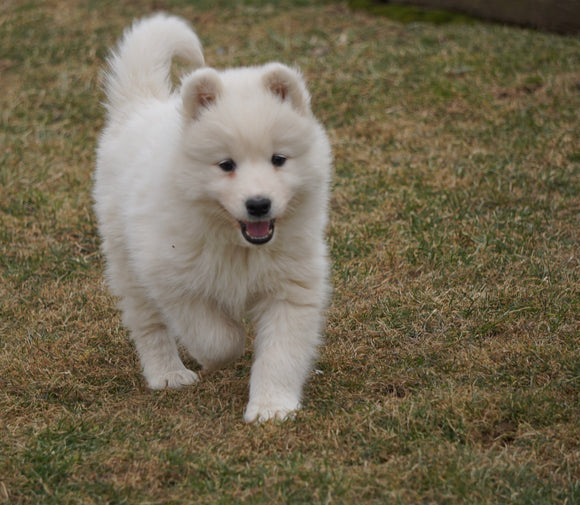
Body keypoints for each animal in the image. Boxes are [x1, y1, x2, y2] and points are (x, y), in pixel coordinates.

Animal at [93, 13, 334, 422]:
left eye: (278, 159)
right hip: (126, 259)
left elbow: (281, 352)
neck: (238, 243)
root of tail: (140, 107)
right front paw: (223, 353)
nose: (258, 204)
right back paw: (168, 374)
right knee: (147, 322)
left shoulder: (292, 287)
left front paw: (272, 407)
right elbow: (217, 336)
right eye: (226, 165)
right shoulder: (172, 276)